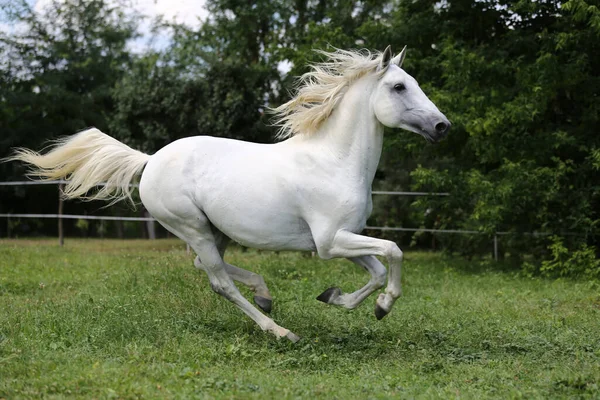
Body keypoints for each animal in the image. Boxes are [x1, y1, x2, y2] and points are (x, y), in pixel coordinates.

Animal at [9, 46, 450, 340]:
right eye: (399, 86)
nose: (442, 127)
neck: (333, 161)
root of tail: (150, 160)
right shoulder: (330, 242)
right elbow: (394, 251)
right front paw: (381, 306)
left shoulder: (345, 238)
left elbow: (377, 271)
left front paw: (340, 298)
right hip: (193, 228)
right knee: (219, 281)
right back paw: (279, 329)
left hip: (214, 230)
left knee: (208, 268)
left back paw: (265, 295)